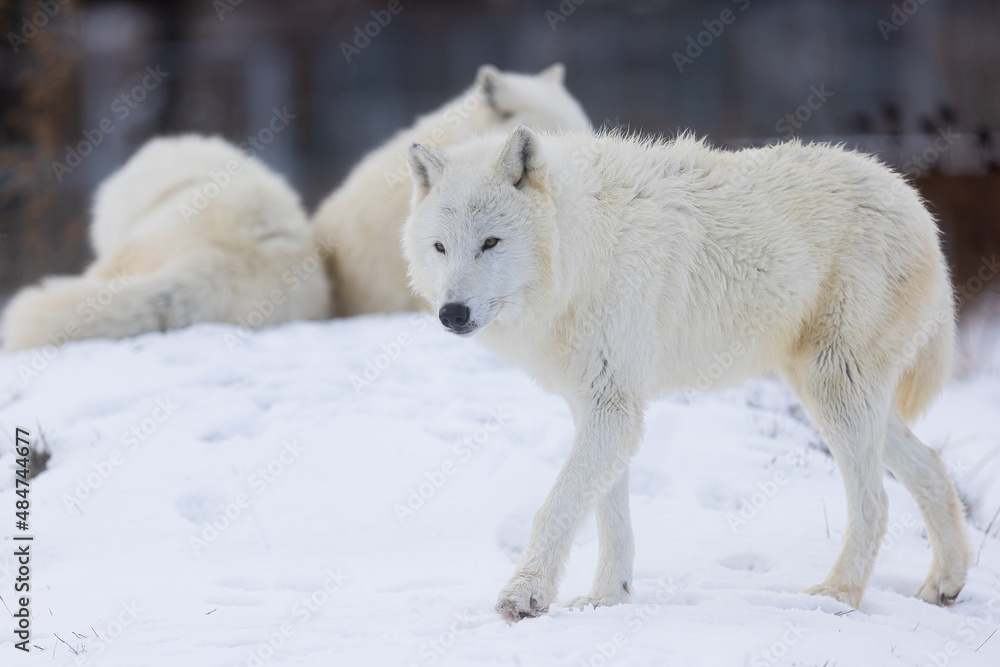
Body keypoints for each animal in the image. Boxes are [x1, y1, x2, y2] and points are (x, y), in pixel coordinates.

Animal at [404, 126, 968, 620]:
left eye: (491, 243)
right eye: (440, 248)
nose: (451, 313)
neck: (586, 249)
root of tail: (914, 202)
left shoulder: (612, 406)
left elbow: (556, 507)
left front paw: (524, 595)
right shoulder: (601, 405)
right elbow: (609, 517)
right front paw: (607, 598)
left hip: (835, 394)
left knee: (876, 502)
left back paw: (837, 595)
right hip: (833, 393)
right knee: (934, 469)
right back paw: (945, 584)